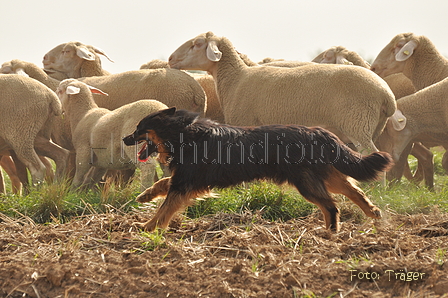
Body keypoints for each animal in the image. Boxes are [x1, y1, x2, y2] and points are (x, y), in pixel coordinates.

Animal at [122, 107, 392, 233]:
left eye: (138, 129)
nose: (124, 139)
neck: (183, 133)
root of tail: (317, 132)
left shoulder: (185, 182)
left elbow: (165, 208)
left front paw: (147, 227)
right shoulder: (190, 180)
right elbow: (162, 185)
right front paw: (145, 196)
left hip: (306, 182)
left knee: (331, 206)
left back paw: (330, 234)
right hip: (325, 175)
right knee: (354, 191)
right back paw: (372, 213)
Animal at [167, 31, 396, 154]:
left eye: (197, 44)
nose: (170, 59)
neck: (237, 79)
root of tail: (387, 94)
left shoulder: (245, 121)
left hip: (358, 123)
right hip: (372, 126)